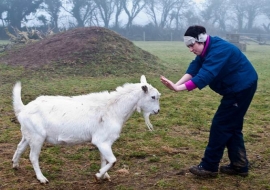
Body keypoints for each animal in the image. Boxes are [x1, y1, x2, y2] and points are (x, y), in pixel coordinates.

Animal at [11, 75, 160, 183]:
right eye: (153, 97)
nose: (157, 111)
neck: (113, 109)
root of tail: (23, 109)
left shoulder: (104, 142)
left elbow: (104, 159)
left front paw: (104, 176)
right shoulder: (102, 141)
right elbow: (112, 160)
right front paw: (98, 175)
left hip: (28, 134)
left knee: (20, 147)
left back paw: (15, 165)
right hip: (37, 137)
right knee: (33, 157)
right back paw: (41, 178)